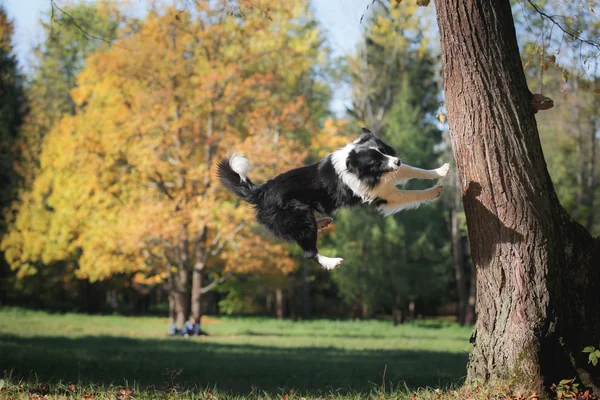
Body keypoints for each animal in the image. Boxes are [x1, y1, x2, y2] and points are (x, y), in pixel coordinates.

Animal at [217, 128, 450, 270]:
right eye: (375, 161)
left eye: (384, 151)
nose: (397, 160)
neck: (359, 167)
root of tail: (261, 190)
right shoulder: (383, 194)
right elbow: (410, 194)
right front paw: (434, 191)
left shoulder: (389, 174)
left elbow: (415, 170)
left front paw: (442, 169)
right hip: (298, 214)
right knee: (309, 252)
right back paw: (332, 261)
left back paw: (323, 222)